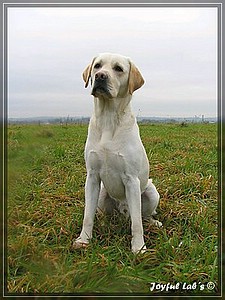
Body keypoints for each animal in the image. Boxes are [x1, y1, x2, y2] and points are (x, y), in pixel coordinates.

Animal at [74, 52, 162, 252]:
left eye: (118, 69)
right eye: (97, 66)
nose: (100, 76)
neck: (108, 118)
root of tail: (123, 211)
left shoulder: (131, 180)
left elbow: (137, 223)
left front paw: (139, 248)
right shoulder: (92, 177)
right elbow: (87, 216)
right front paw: (84, 240)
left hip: (151, 191)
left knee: (142, 216)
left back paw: (153, 222)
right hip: (101, 194)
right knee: (103, 214)